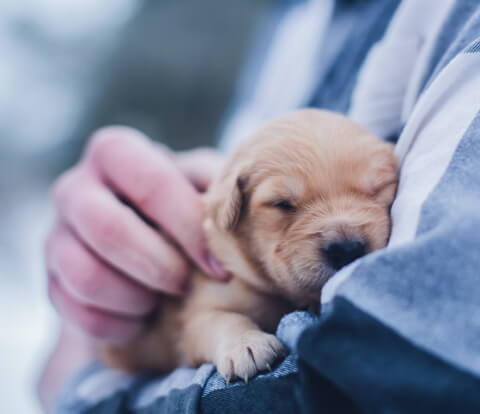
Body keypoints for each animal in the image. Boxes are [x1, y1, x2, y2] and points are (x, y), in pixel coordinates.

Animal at [103, 108, 400, 384]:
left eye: (378, 189)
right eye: (282, 204)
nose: (347, 249)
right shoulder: (201, 307)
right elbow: (222, 319)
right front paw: (245, 345)